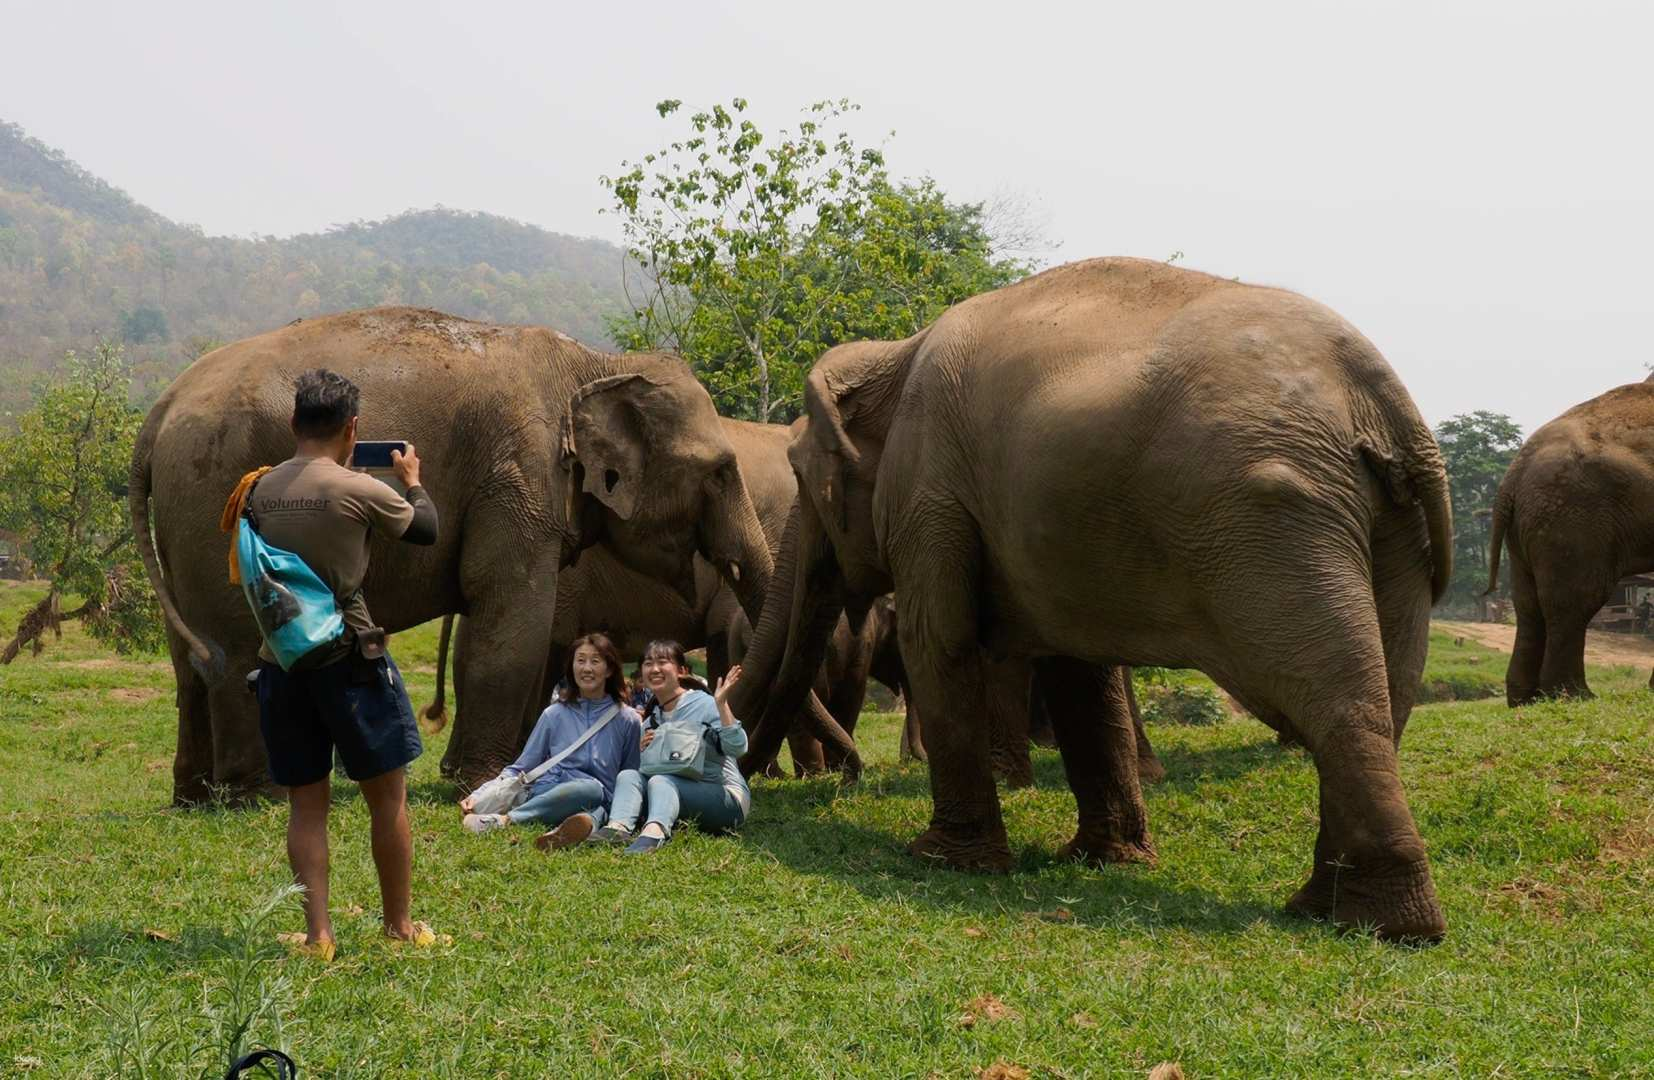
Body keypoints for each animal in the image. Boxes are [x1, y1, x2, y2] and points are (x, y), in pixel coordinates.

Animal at [129, 306, 841, 801]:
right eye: (721, 470)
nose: (848, 776)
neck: (593, 364)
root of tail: (159, 409)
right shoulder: (521, 474)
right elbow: (508, 624)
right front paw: (480, 782)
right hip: (216, 495)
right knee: (238, 649)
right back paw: (260, 796)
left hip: (186, 518)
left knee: (195, 654)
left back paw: (194, 797)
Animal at [726, 258, 1453, 941]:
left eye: (801, 479)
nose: (758, 776)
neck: (897, 352)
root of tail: (1386, 402)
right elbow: (1078, 670)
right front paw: (1105, 859)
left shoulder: (929, 490)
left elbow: (939, 642)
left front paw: (941, 859)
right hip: (1388, 532)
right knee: (1386, 697)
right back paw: (1345, 912)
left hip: (1276, 521)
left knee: (1335, 699)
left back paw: (1369, 919)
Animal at [1486, 375, 1654, 704]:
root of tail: (1512, 475)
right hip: (1574, 516)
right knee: (1576, 600)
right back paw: (1574, 695)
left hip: (1529, 530)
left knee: (1528, 605)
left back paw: (1526, 699)